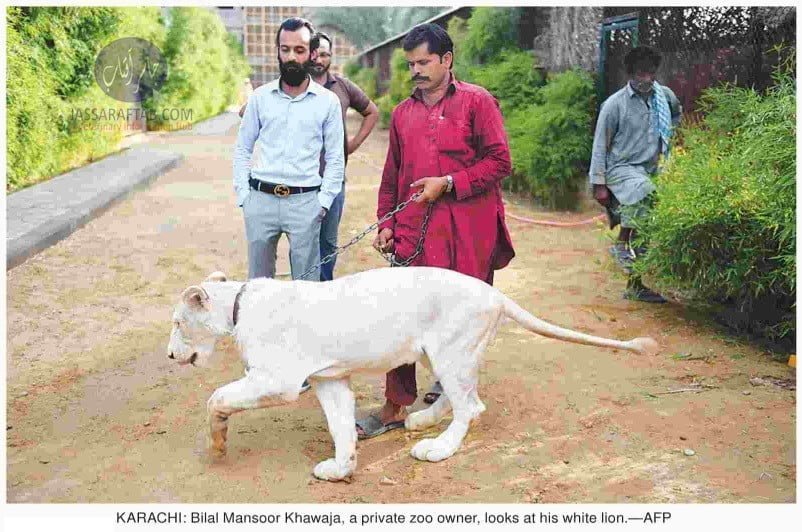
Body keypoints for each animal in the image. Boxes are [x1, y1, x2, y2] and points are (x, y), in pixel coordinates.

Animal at [169, 268, 656, 480]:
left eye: (177, 322)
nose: (172, 354)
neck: (236, 307)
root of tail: (495, 294)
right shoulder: (329, 379)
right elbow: (341, 425)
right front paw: (342, 469)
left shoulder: (280, 379)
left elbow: (216, 398)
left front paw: (217, 443)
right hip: (440, 353)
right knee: (465, 398)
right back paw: (422, 420)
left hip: (451, 350)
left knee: (472, 406)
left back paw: (437, 448)